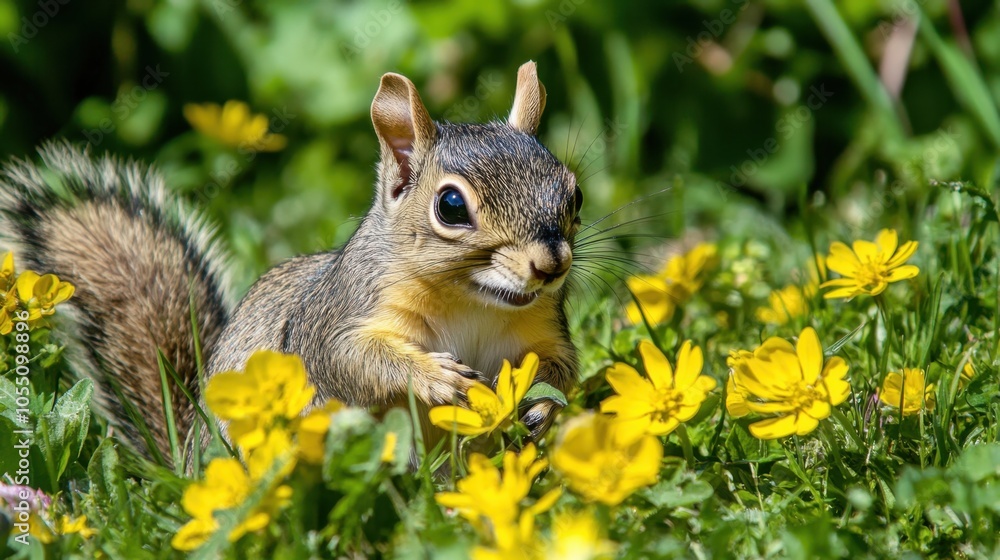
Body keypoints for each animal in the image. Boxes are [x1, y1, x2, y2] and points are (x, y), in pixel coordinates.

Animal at [0, 61, 580, 458]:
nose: (551, 265)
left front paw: (543, 406)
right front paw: (435, 378)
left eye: (573, 194)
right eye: (451, 206)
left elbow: (561, 370)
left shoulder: (543, 329)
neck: (474, 301)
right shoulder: (336, 316)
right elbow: (347, 359)